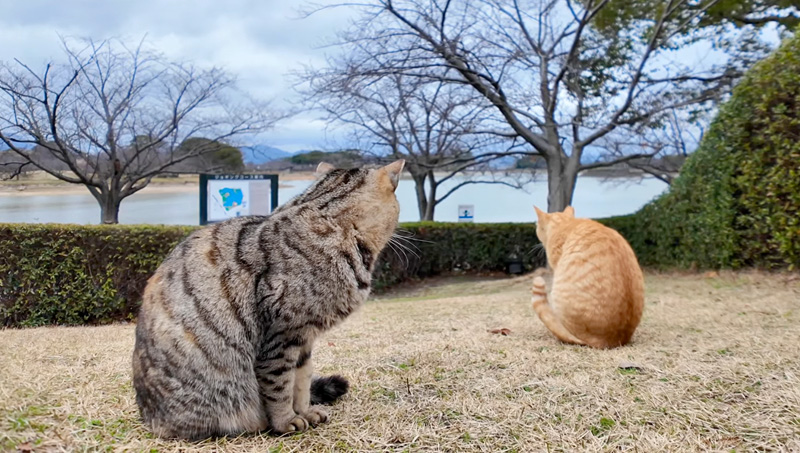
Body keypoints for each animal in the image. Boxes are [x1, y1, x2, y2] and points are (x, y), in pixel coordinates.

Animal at [134, 159, 406, 438]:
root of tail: (149, 419)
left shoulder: (304, 338)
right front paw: (286, 421)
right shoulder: (280, 337)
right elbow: (279, 386)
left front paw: (305, 411)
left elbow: (301, 380)